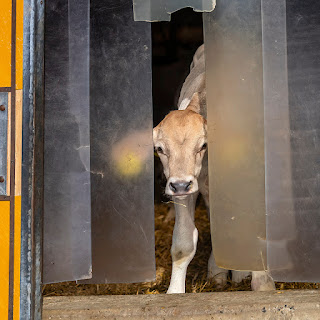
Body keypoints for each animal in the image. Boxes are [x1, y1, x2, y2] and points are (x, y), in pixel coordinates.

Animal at [154, 45, 274, 296]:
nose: (180, 184)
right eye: (160, 148)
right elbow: (183, 243)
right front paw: (174, 292)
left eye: (202, 145)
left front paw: (263, 283)